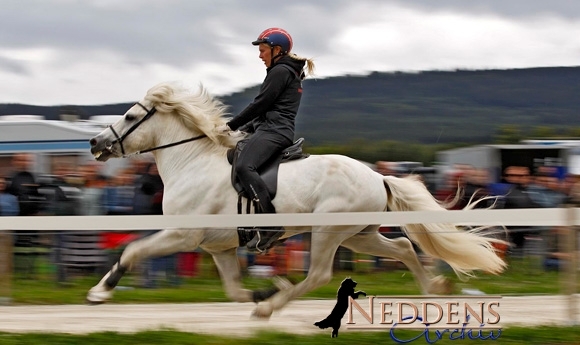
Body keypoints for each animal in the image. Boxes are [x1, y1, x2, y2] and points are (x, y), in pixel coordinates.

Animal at [87, 81, 508, 318]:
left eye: (129, 117)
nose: (94, 143)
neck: (191, 161)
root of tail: (377, 175)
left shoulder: (182, 235)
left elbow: (131, 251)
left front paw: (98, 293)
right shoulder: (220, 248)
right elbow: (233, 290)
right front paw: (263, 289)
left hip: (327, 232)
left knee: (320, 274)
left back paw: (270, 308)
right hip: (359, 235)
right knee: (404, 247)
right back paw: (433, 290)